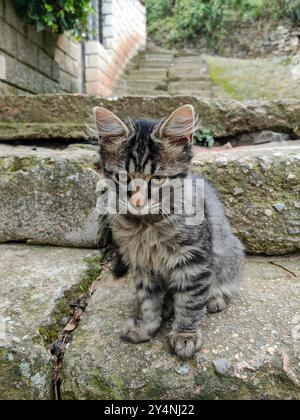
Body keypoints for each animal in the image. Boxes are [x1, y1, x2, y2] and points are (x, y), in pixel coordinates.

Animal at [95, 105, 245, 358]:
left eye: (156, 179)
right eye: (123, 178)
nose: (137, 202)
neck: (146, 225)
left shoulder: (194, 260)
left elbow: (190, 301)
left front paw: (185, 335)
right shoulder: (141, 263)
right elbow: (148, 301)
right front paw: (146, 327)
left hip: (229, 253)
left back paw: (214, 298)